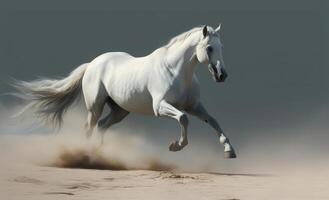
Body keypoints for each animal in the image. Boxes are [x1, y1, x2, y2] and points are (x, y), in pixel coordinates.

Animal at [14, 25, 236, 159]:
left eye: (222, 46)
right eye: (209, 48)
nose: (222, 75)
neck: (176, 71)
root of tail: (92, 64)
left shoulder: (194, 106)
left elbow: (213, 121)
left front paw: (229, 150)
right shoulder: (161, 107)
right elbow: (183, 118)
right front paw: (176, 145)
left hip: (120, 110)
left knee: (102, 126)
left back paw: (100, 155)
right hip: (95, 107)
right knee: (89, 128)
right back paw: (86, 155)